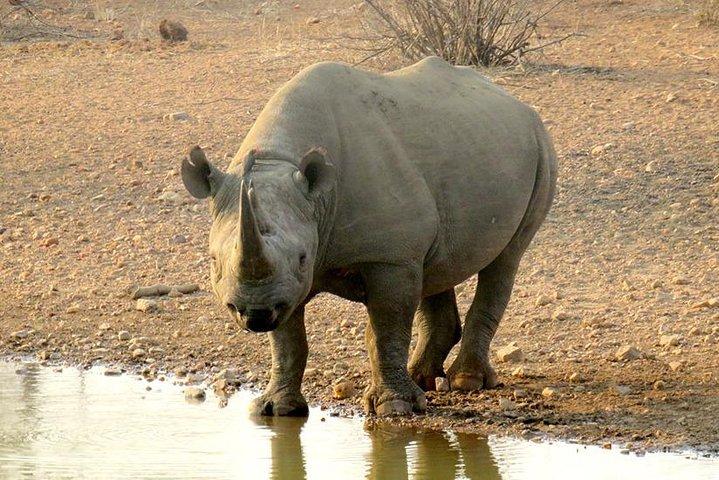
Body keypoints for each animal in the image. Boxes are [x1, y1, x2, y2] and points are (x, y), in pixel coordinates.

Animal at [181, 56, 557, 417]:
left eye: (302, 259)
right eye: (213, 262)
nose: (254, 314)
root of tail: (516, 102)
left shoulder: (389, 257)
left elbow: (386, 328)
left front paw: (395, 407)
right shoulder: (283, 284)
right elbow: (287, 340)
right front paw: (277, 409)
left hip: (541, 148)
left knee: (506, 259)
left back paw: (465, 382)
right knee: (436, 267)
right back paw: (422, 378)